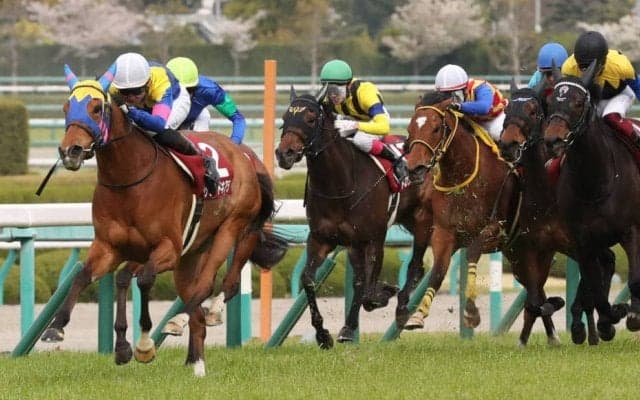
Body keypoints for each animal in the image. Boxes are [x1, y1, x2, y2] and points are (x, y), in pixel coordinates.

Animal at [39, 65, 287, 376]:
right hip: (190, 255)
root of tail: (244, 154)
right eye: (66, 108)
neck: (130, 179)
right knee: (196, 307)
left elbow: (143, 279)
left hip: (232, 230)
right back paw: (196, 362)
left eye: (96, 109)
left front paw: (143, 346)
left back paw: (190, 319)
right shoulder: (109, 246)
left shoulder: (167, 248)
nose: (69, 151)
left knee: (215, 287)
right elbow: (86, 276)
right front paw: (58, 328)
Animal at [275, 88, 433, 348]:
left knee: (414, 266)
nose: (284, 154)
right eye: (285, 118)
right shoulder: (321, 239)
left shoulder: (373, 239)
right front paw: (323, 334)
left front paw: (381, 295)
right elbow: (309, 279)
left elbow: (367, 290)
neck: (340, 184)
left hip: (422, 221)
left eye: (310, 118)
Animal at [402, 90, 565, 346]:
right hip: (516, 253)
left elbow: (472, 253)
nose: (414, 168)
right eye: (410, 128)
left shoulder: (493, 230)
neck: (463, 175)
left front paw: (471, 312)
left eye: (436, 128)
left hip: (540, 249)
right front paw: (417, 315)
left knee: (537, 287)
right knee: (534, 290)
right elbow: (438, 271)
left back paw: (550, 333)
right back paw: (537, 335)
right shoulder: (444, 232)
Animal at [500, 80, 619, 344]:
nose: (508, 144)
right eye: (507, 109)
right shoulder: (531, 248)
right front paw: (552, 307)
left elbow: (587, 285)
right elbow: (535, 300)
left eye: (533, 111)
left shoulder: (579, 243)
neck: (546, 192)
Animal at [544, 61, 639, 337]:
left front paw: (632, 314)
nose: (553, 140)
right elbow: (596, 289)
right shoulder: (583, 240)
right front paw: (611, 317)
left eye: (578, 103)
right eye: (551, 101)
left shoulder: (631, 231)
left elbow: (634, 278)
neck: (595, 183)